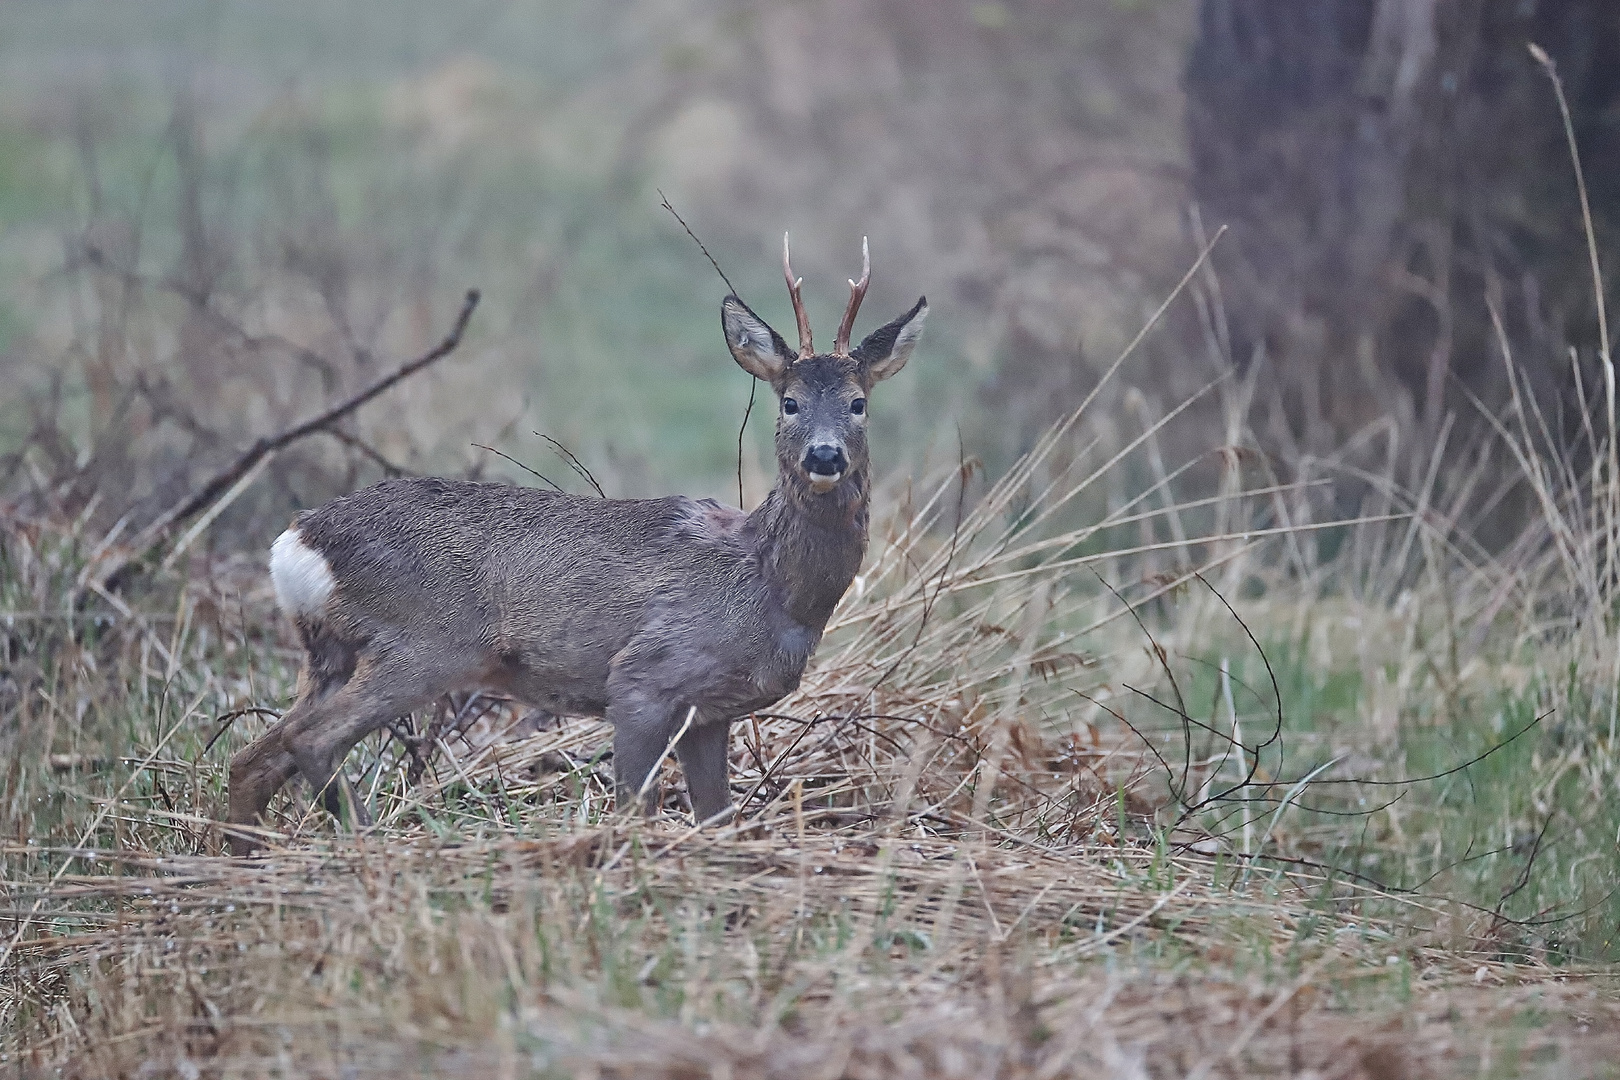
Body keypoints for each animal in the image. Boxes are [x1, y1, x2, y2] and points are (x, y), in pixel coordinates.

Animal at [233, 236, 933, 854]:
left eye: (858, 403)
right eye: (788, 402)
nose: (825, 456)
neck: (771, 587)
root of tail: (299, 539)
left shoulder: (709, 712)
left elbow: (717, 818)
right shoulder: (645, 676)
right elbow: (633, 807)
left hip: (330, 653)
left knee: (252, 758)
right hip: (423, 644)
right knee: (309, 742)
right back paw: (367, 841)